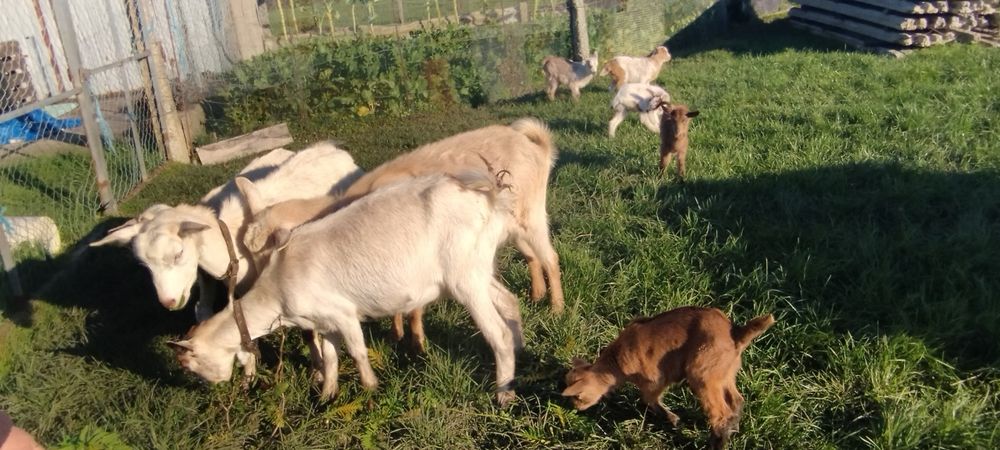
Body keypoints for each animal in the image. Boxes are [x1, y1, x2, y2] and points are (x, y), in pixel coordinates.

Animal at [170, 171, 525, 406]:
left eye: (191, 366)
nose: (218, 387)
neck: (277, 288)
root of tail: (490, 196)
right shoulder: (323, 322)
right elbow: (330, 357)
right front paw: (327, 395)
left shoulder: (342, 312)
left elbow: (356, 350)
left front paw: (370, 386)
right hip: (477, 270)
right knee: (509, 301)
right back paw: (520, 349)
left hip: (465, 278)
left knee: (497, 332)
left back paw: (504, 394)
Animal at [239, 118, 562, 353]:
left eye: (270, 251)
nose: (257, 284)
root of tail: (535, 146)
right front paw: (397, 335)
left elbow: (414, 307)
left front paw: (416, 344)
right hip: (512, 226)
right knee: (531, 256)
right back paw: (536, 294)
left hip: (532, 214)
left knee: (550, 257)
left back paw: (556, 307)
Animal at [562, 307, 775, 450]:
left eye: (577, 397)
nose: (574, 408)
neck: (615, 363)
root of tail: (736, 332)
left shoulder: (655, 379)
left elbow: (649, 399)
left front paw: (672, 419)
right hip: (724, 373)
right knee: (737, 401)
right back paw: (733, 429)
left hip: (703, 374)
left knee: (720, 412)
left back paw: (716, 444)